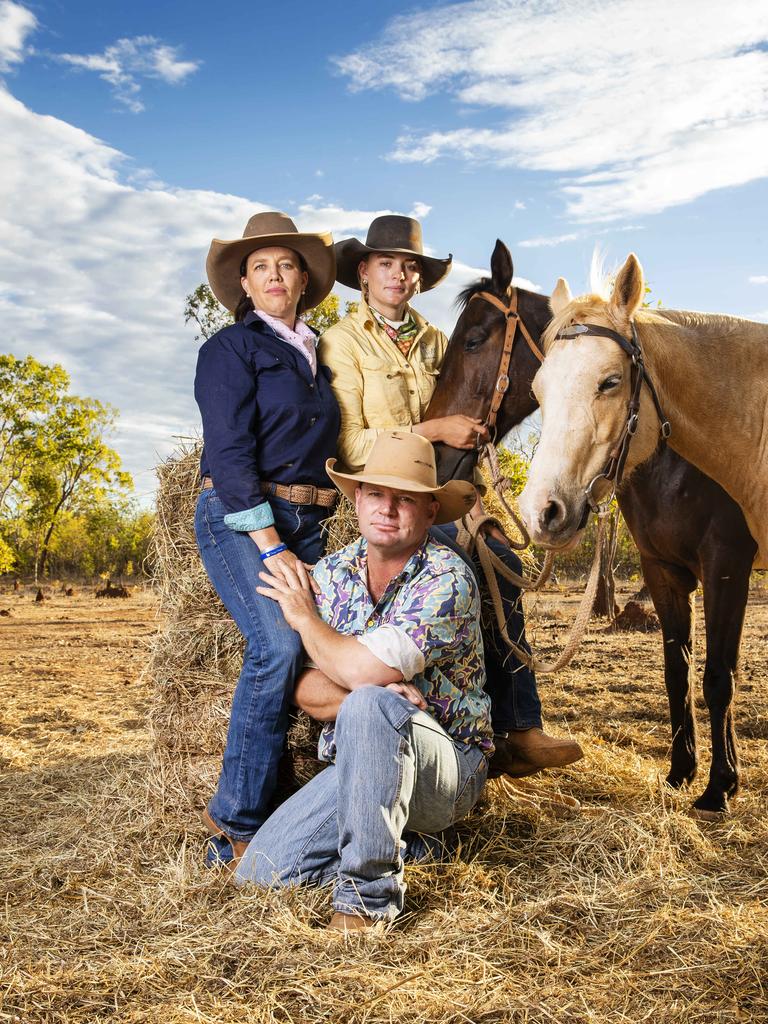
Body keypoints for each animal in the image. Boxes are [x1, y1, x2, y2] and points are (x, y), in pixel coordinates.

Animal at [430, 241, 761, 815]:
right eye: (540, 387)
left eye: (473, 340)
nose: (436, 449)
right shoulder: (662, 571)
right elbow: (676, 672)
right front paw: (681, 773)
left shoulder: (727, 567)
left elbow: (719, 676)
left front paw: (719, 787)